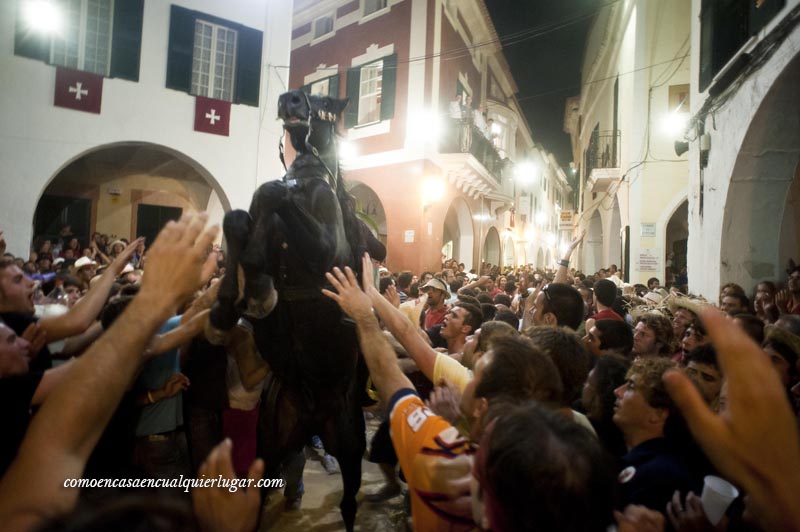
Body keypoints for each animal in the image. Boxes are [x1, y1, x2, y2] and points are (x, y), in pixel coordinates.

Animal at [208, 89, 386, 528]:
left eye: (326, 100)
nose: (290, 100)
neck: (306, 182)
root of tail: (311, 419)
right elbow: (240, 218)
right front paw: (228, 304)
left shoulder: (324, 250)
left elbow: (271, 194)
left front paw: (255, 283)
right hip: (270, 445)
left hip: (350, 445)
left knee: (349, 504)